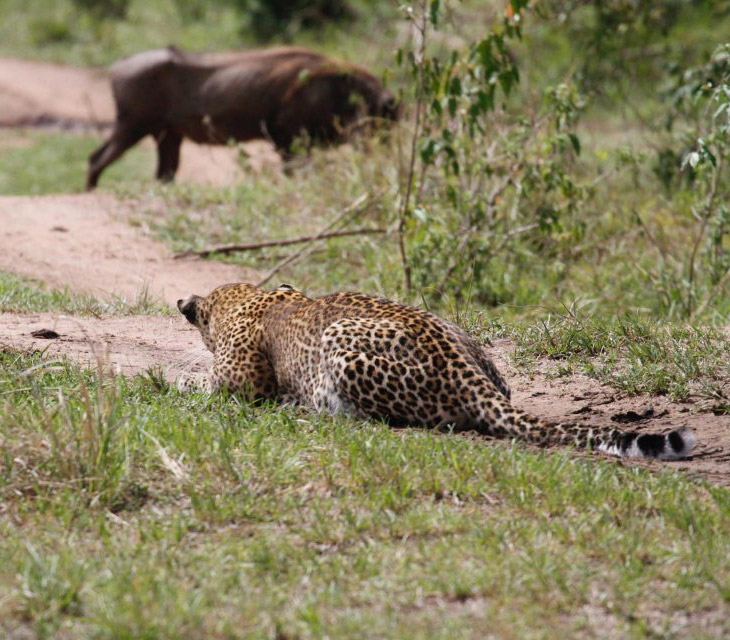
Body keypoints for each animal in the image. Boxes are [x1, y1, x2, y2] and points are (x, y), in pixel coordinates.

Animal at [176, 282, 692, 460]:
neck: (255, 296)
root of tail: (468, 372)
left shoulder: (239, 381)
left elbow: (205, 390)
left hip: (340, 344)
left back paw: (311, 410)